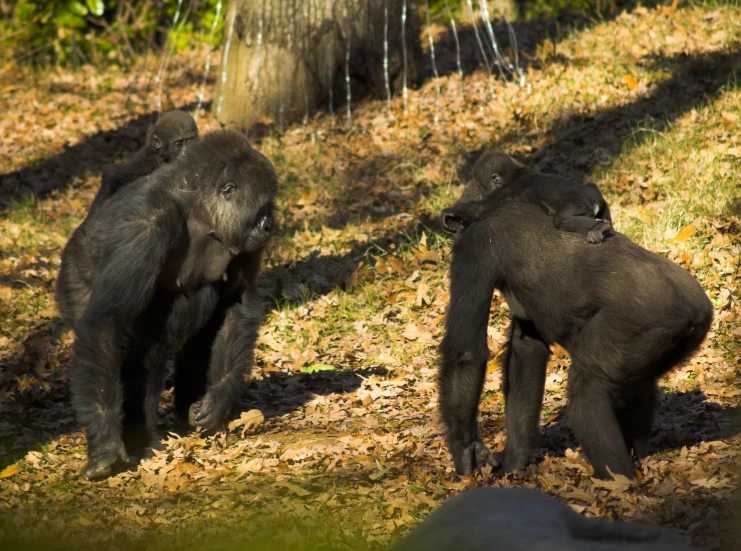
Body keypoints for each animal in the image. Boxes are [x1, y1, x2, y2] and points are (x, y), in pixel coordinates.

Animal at [440, 202, 712, 478]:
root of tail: (692, 310)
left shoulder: (473, 246)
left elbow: (466, 353)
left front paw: (465, 450)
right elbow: (526, 348)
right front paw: (516, 461)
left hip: (639, 324)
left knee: (587, 389)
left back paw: (617, 479)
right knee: (637, 383)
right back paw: (639, 456)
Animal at [442, 152, 608, 245]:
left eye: (483, 187)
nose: (482, 192)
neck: (514, 174)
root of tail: (593, 201)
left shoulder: (505, 190)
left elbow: (478, 209)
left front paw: (450, 213)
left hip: (579, 202)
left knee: (562, 220)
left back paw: (598, 227)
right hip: (593, 192)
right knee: (594, 191)